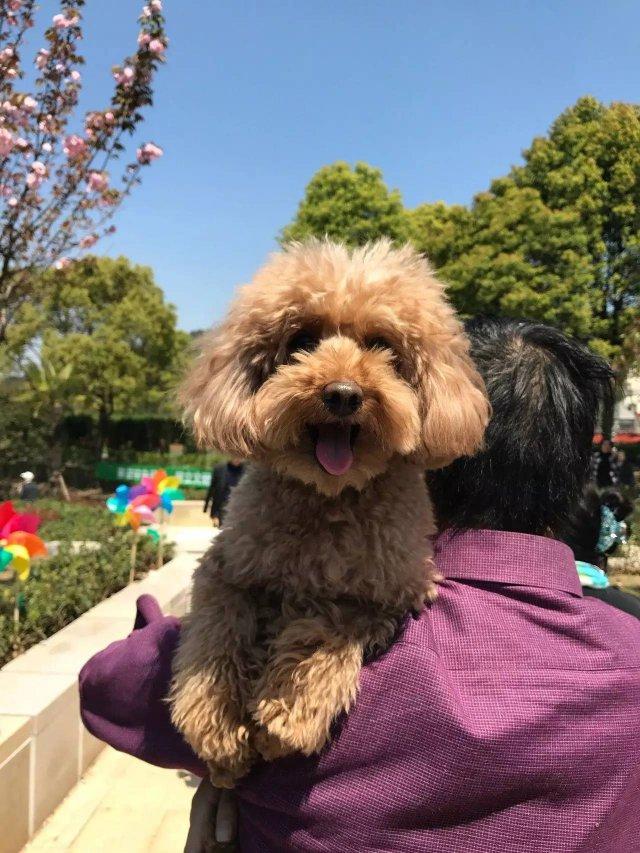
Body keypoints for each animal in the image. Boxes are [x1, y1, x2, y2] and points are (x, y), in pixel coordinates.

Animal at [170, 238, 489, 790]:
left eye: (383, 345)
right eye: (301, 339)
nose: (342, 394)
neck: (329, 497)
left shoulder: (394, 592)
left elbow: (330, 624)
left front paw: (285, 717)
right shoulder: (226, 566)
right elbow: (218, 628)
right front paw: (218, 727)